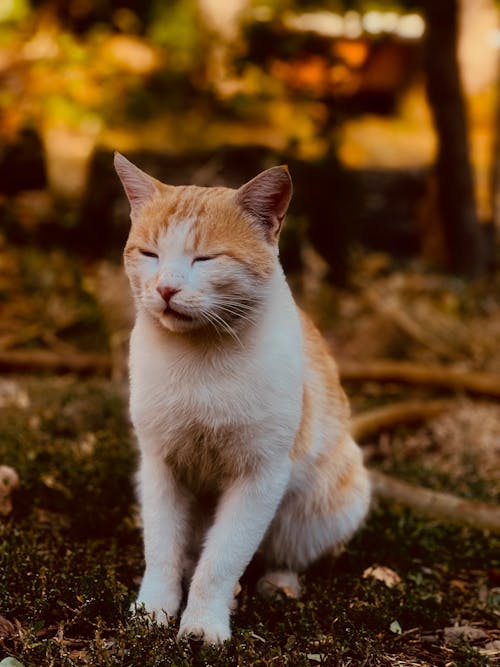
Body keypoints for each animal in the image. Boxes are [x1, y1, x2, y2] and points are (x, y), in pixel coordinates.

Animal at [114, 153, 372, 648]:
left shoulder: (261, 476)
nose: (166, 288)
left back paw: (276, 584)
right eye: (150, 254)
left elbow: (223, 559)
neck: (200, 360)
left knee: (278, 553)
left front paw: (203, 624)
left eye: (205, 258)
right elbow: (162, 548)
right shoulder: (159, 465)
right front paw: (153, 610)